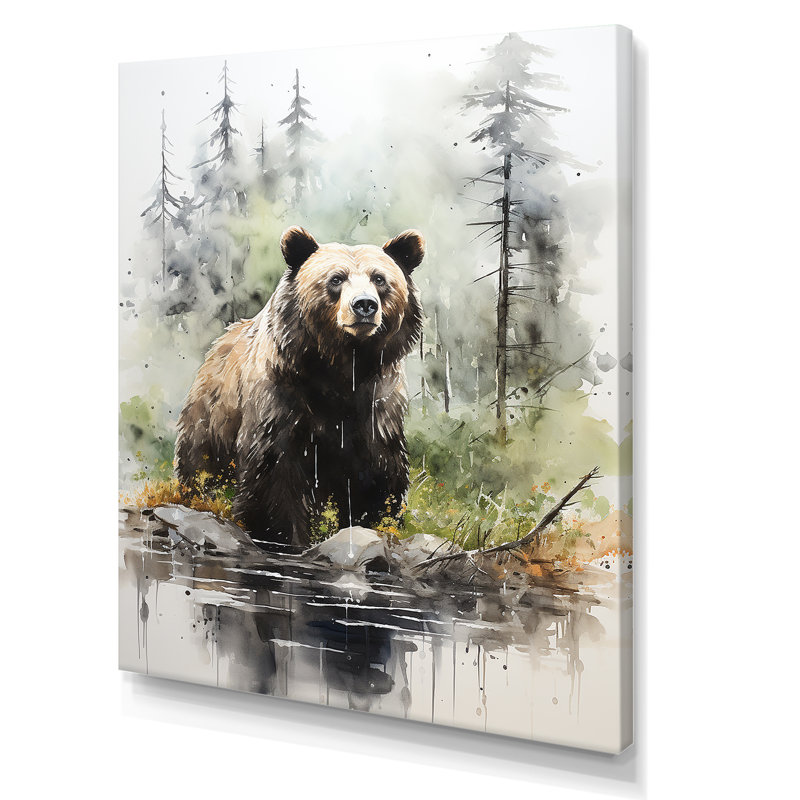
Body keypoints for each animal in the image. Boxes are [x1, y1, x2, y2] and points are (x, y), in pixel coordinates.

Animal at [174, 226, 425, 549]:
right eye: (336, 278)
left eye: (379, 279)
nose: (364, 305)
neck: (343, 368)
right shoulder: (282, 399)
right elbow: (273, 472)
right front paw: (280, 536)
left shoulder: (377, 407)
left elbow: (380, 473)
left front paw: (376, 523)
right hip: (211, 419)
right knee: (201, 466)